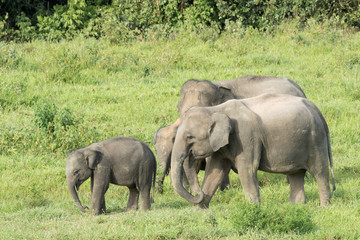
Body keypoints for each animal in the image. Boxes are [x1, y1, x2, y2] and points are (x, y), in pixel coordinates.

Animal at [170, 94, 336, 208]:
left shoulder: (246, 137)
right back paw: (296, 207)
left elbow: (247, 170)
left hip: (315, 140)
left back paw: (323, 207)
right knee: (296, 174)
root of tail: (315, 108)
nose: (198, 193)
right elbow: (215, 171)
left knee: (320, 172)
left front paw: (254, 208)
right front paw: (199, 211)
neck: (216, 109)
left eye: (189, 137)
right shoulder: (223, 146)